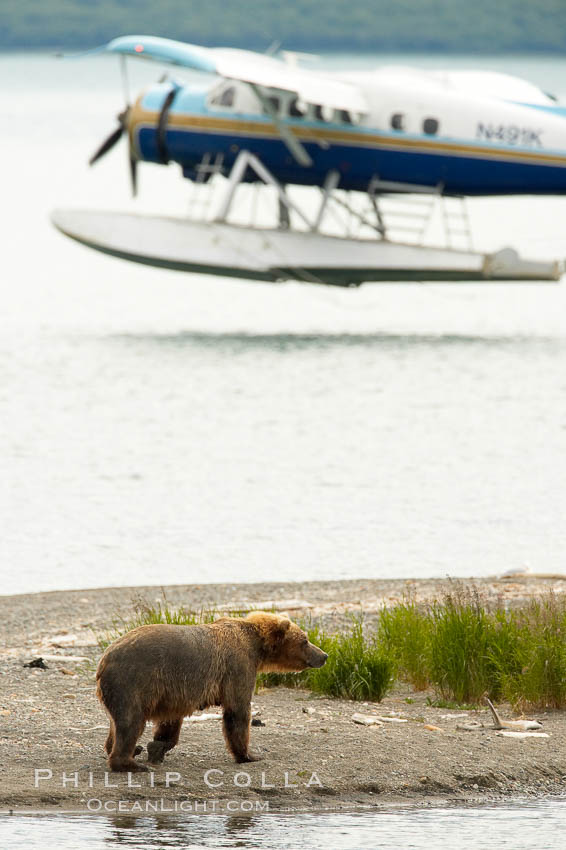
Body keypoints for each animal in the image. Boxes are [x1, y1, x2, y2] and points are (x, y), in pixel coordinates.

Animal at [97, 608, 328, 768]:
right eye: (305, 640)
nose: (324, 655)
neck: (258, 648)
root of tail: (103, 660)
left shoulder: (174, 691)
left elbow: (170, 721)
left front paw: (157, 747)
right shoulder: (237, 666)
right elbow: (238, 710)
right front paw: (249, 755)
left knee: (117, 724)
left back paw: (130, 750)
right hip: (131, 682)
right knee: (131, 722)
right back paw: (129, 763)